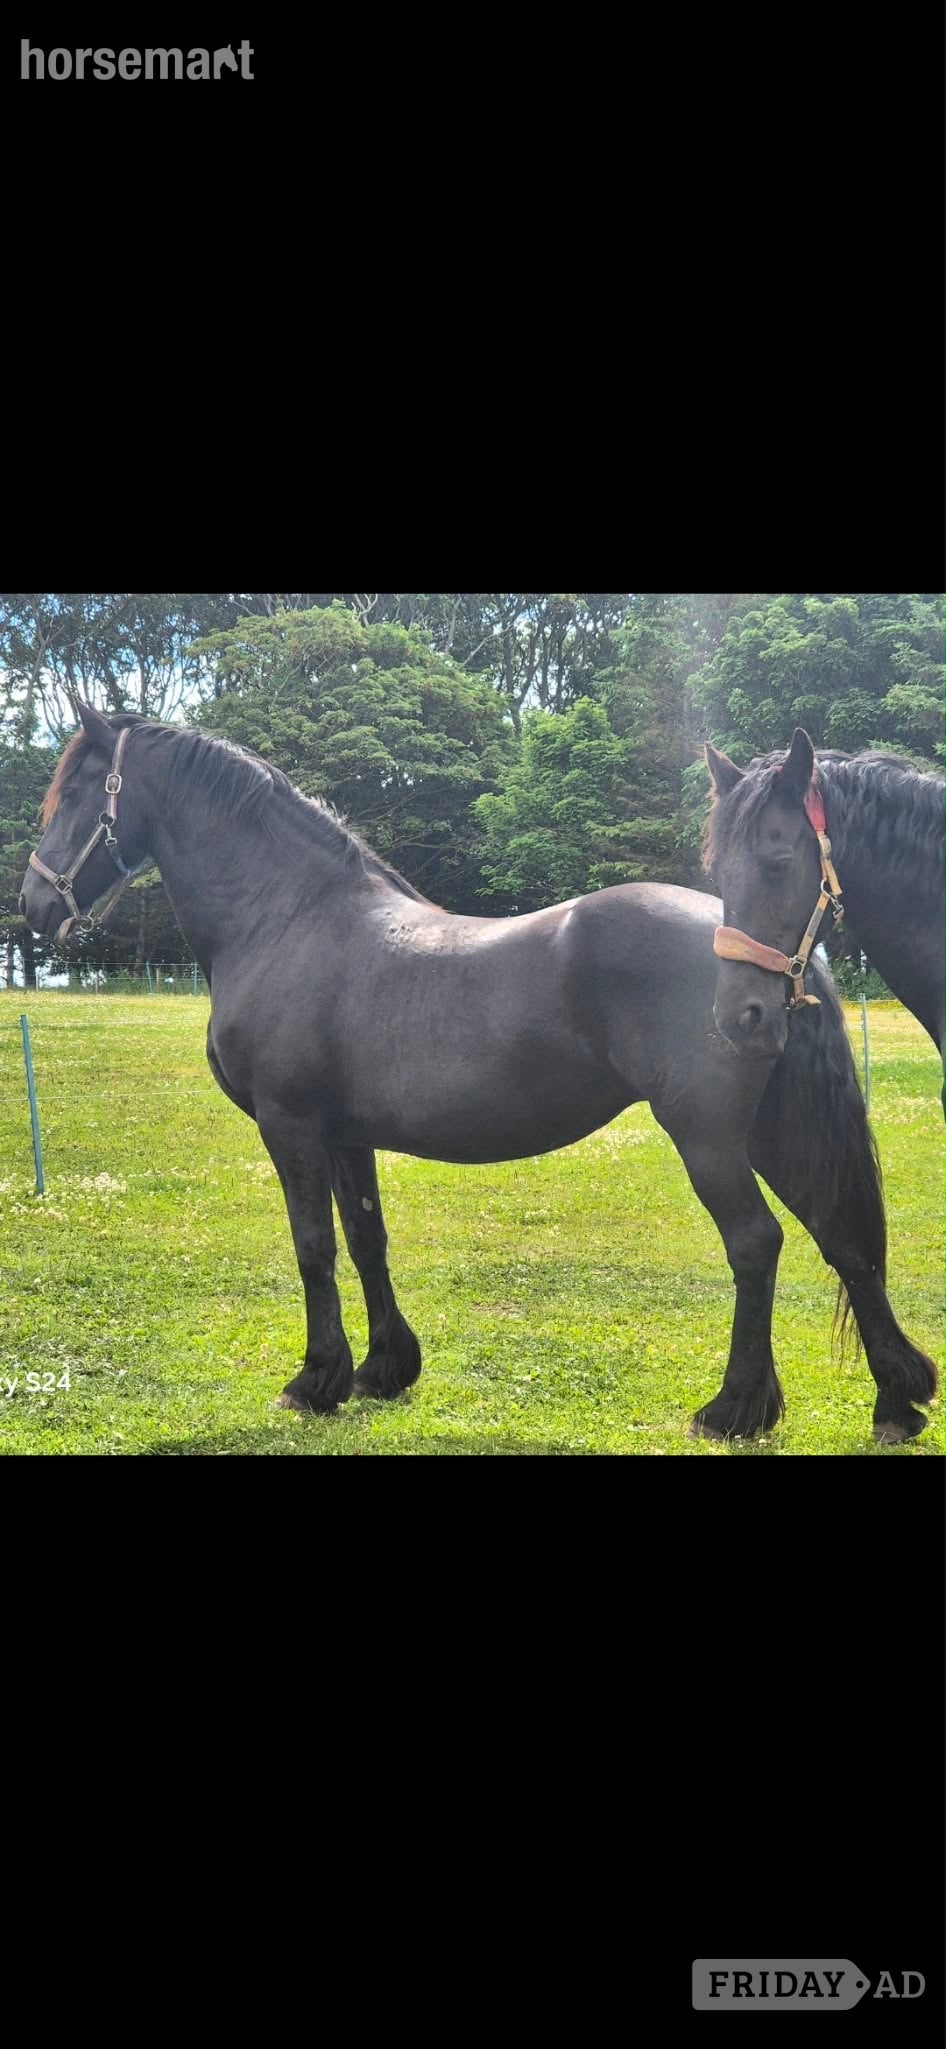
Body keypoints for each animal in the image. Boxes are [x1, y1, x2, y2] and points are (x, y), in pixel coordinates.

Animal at [19, 704, 939, 1445]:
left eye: (76, 793)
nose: (32, 907)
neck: (287, 917)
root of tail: (781, 959)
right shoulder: (345, 1136)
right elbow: (367, 1240)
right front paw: (383, 1370)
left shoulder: (291, 1126)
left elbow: (314, 1246)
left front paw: (313, 1381)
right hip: (771, 1131)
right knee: (844, 1241)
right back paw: (898, 1400)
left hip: (708, 1138)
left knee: (756, 1243)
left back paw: (733, 1408)